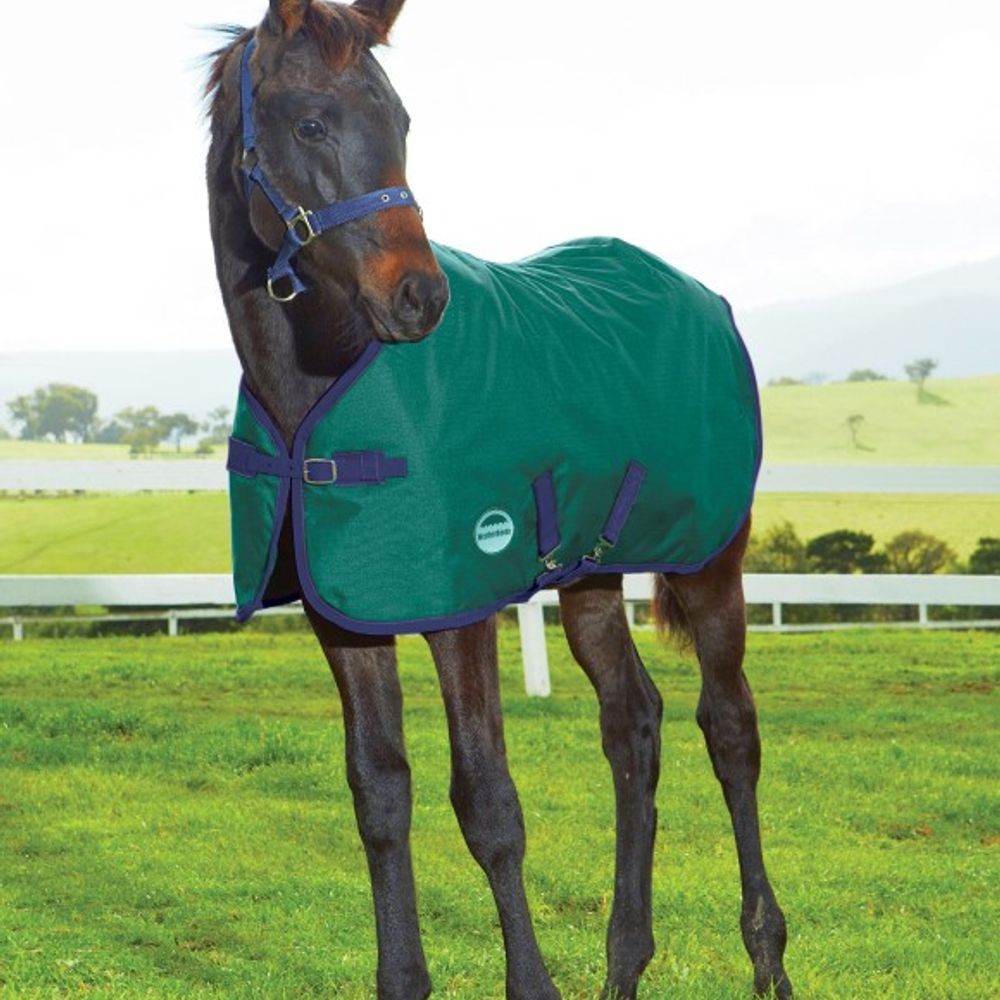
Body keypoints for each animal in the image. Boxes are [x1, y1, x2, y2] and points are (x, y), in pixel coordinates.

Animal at [204, 2, 792, 998]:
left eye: (403, 122)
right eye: (311, 123)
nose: (419, 297)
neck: (320, 380)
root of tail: (701, 294)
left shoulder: (461, 610)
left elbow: (486, 802)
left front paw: (533, 983)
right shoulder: (346, 617)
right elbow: (380, 793)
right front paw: (403, 978)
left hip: (712, 562)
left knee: (730, 729)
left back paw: (767, 956)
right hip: (591, 574)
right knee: (633, 723)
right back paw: (624, 964)